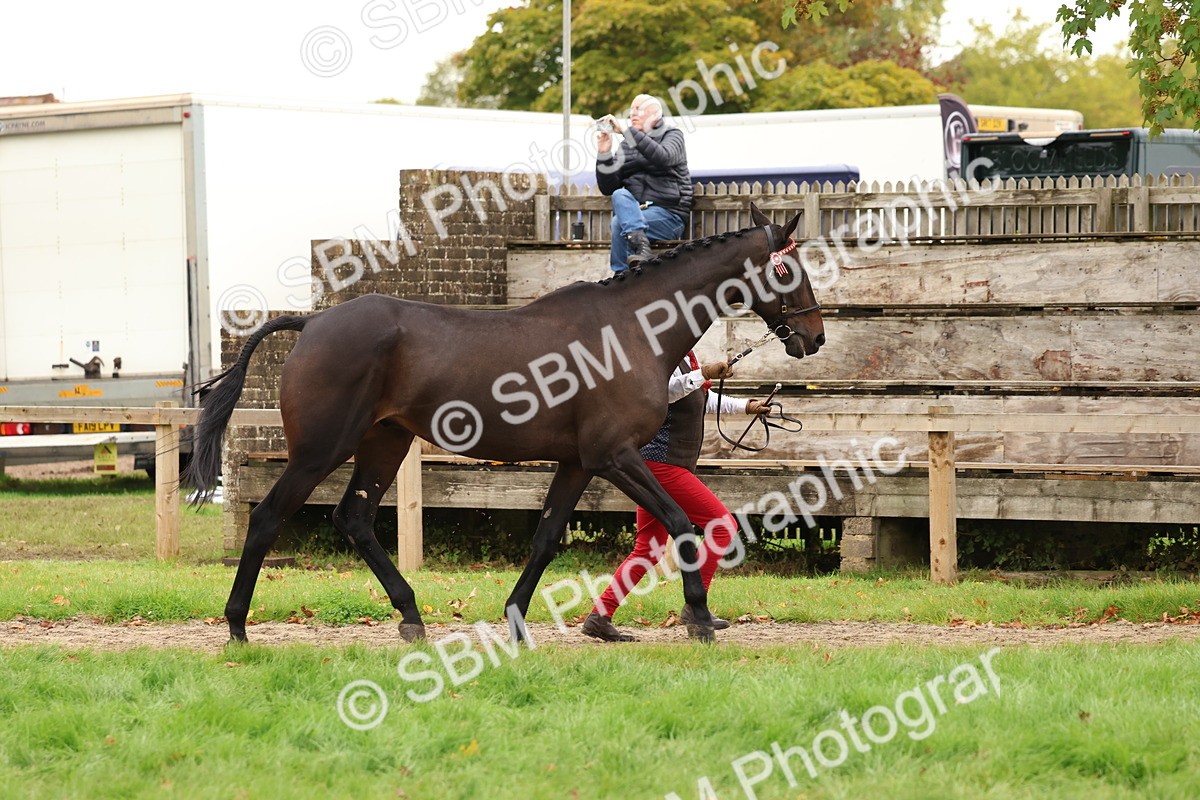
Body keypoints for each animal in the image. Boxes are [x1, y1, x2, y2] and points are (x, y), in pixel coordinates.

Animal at [183, 203, 824, 644]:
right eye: (788, 270)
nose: (815, 337)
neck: (630, 330)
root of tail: (311, 324)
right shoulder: (614, 456)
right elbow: (679, 524)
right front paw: (700, 617)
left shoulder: (578, 462)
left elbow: (546, 538)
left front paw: (516, 620)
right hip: (321, 450)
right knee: (268, 517)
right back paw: (237, 626)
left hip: (385, 442)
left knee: (355, 519)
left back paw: (410, 616)